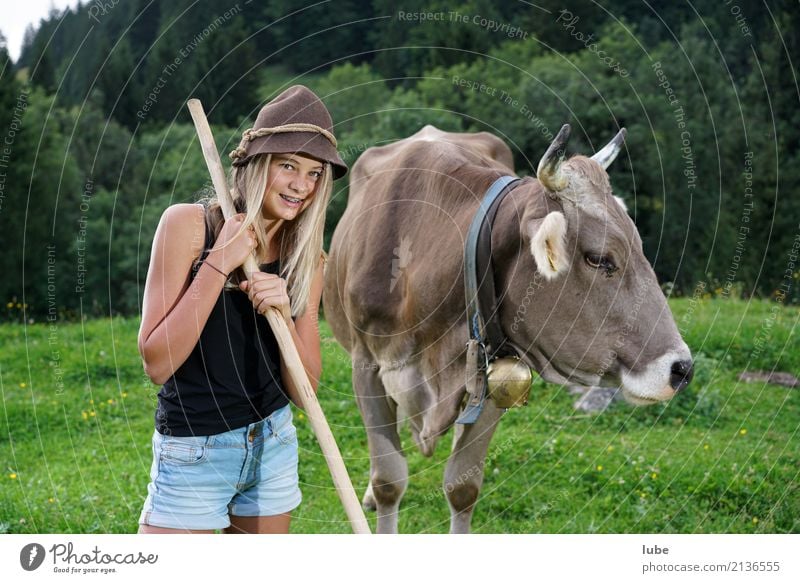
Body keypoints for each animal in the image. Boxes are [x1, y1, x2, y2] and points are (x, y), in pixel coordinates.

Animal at [322, 123, 692, 532]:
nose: (681, 369)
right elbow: (389, 480)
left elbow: (462, 486)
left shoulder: (498, 369)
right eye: (599, 259)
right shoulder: (366, 366)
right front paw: (378, 497)